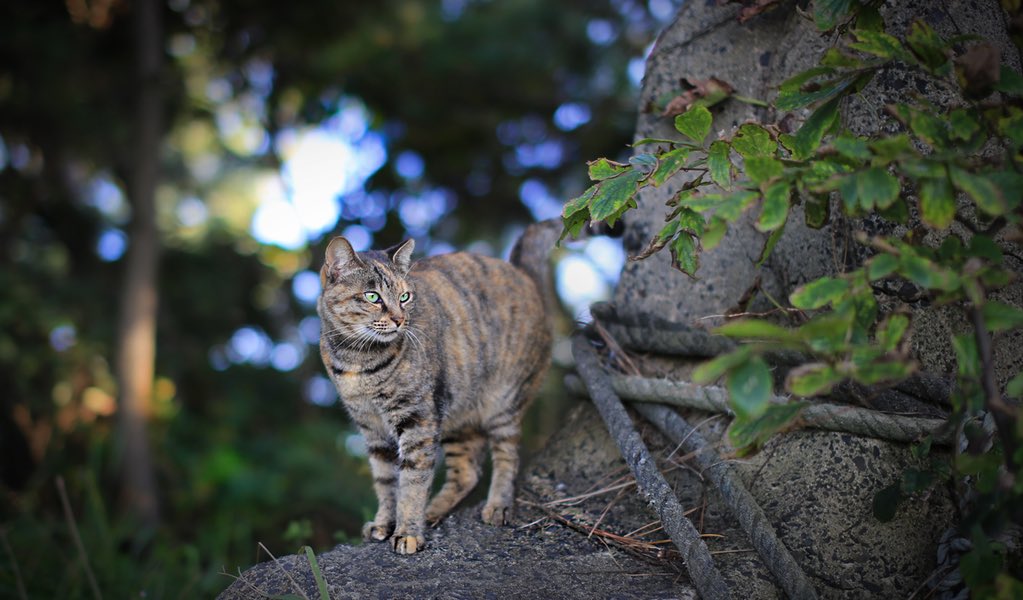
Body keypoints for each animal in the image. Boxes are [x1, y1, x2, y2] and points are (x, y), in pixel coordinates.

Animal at [315, 220, 556, 556]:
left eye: (404, 297)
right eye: (373, 297)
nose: (399, 319)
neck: (358, 360)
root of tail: (524, 274)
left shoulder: (417, 419)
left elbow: (413, 480)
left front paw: (407, 532)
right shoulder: (372, 427)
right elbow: (386, 482)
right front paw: (384, 523)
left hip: (503, 401)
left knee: (507, 455)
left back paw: (497, 506)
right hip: (456, 414)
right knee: (467, 472)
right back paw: (432, 512)